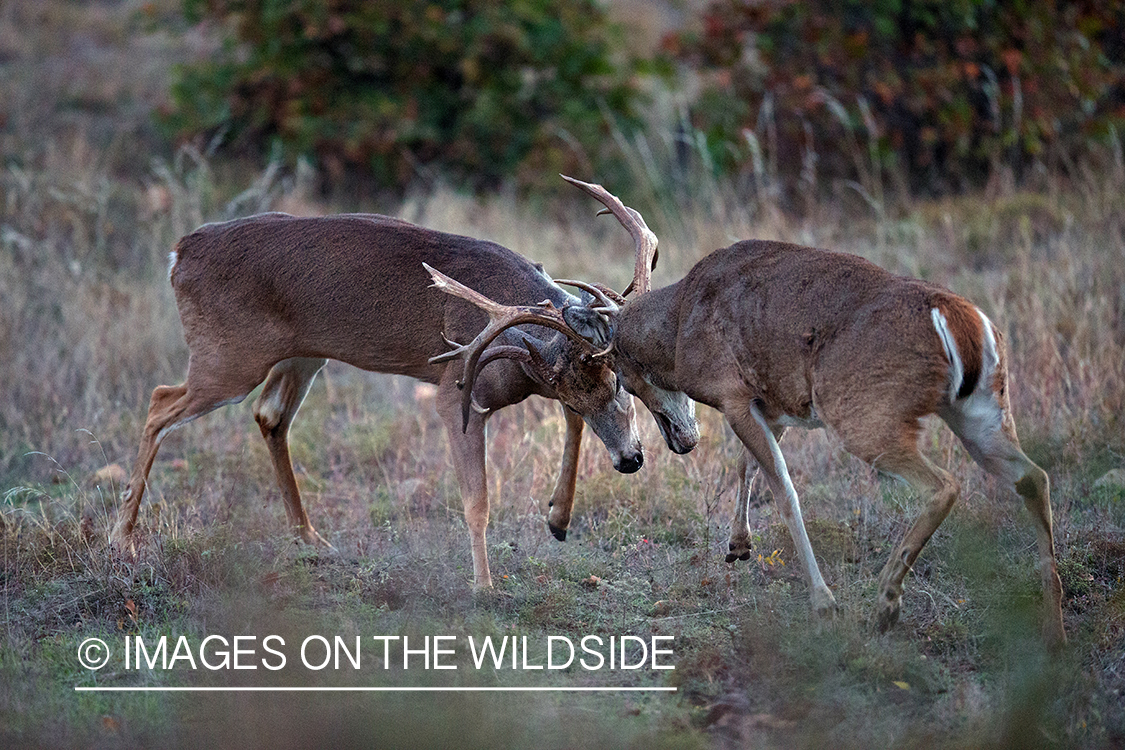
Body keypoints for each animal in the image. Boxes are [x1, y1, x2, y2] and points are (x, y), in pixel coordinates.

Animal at [111, 210, 652, 584]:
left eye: (620, 383)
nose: (631, 460)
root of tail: (180, 253)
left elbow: (573, 425)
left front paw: (558, 518)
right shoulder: (458, 389)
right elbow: (477, 498)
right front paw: (485, 587)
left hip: (303, 355)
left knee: (269, 416)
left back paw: (312, 539)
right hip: (228, 359)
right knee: (159, 402)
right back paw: (123, 543)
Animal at [427, 176, 1062, 647]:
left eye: (622, 378)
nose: (679, 440)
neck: (680, 324)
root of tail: (961, 321)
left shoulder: (732, 393)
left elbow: (784, 487)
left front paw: (822, 602)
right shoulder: (768, 402)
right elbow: (747, 466)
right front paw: (738, 546)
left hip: (867, 413)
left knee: (945, 484)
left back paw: (883, 606)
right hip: (983, 406)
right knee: (1033, 475)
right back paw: (1052, 619)